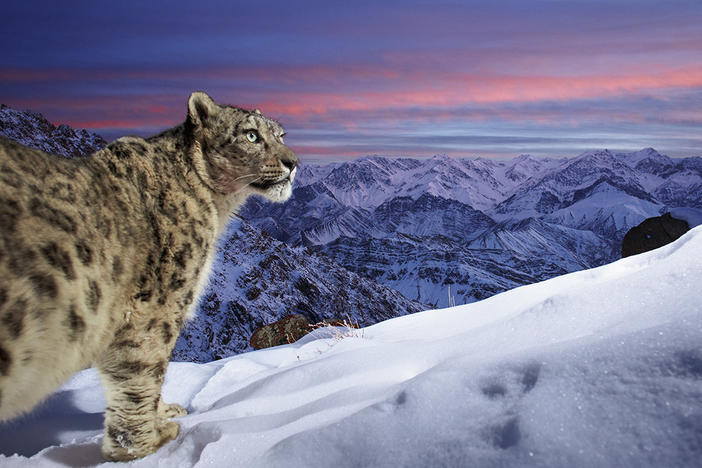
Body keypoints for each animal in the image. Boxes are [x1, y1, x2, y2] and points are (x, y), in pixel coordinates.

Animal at [0, 92, 298, 460]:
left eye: (280, 135)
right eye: (251, 135)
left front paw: (164, 413)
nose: (293, 162)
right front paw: (146, 444)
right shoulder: (157, 306)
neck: (217, 207)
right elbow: (142, 372)